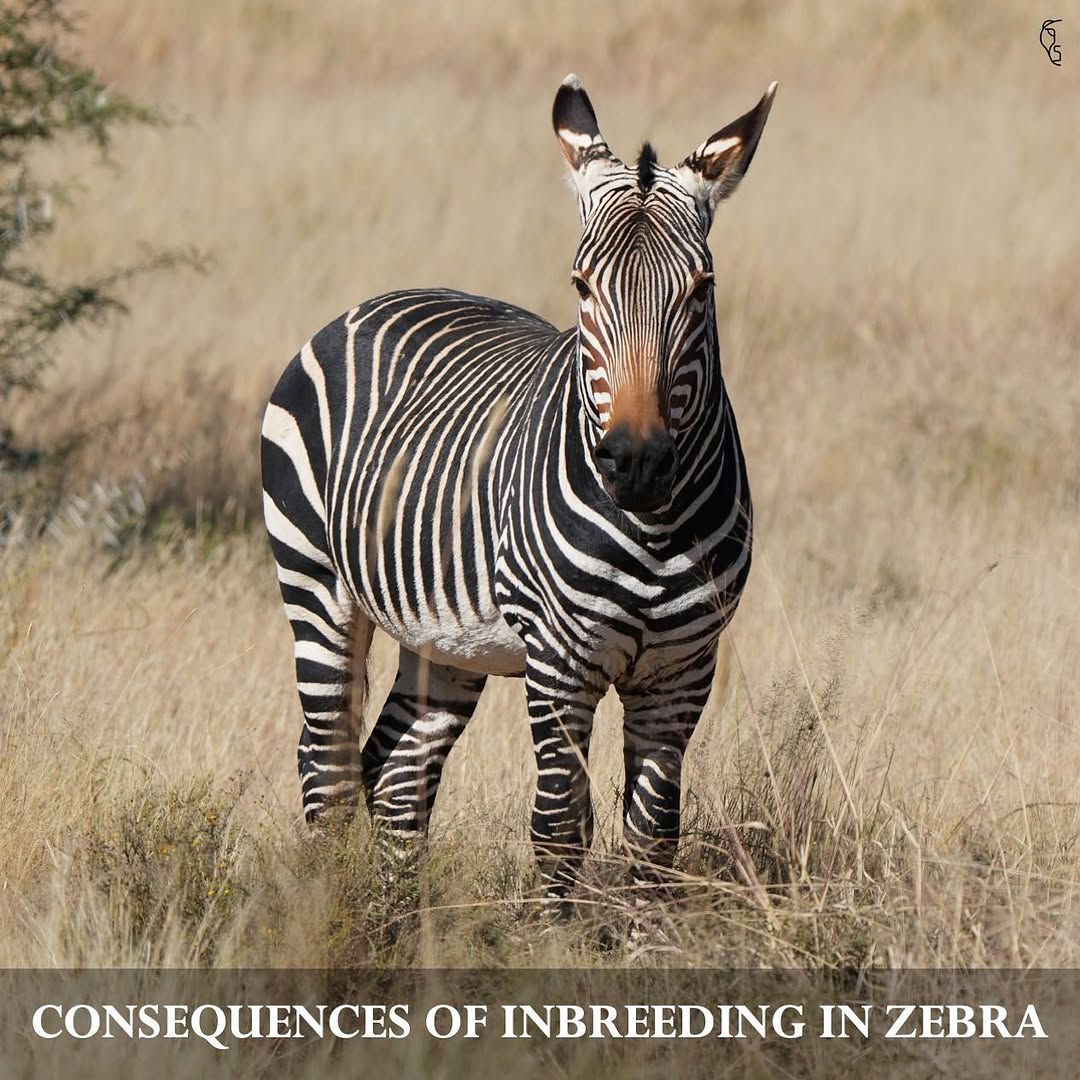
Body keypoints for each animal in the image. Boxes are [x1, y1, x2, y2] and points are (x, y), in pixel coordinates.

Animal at [261, 75, 777, 910]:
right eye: (581, 285)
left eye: (702, 289)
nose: (637, 462)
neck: (653, 530)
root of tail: (379, 299)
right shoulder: (561, 662)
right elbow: (561, 825)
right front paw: (554, 934)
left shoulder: (682, 669)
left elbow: (653, 841)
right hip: (316, 585)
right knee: (327, 768)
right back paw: (331, 915)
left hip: (443, 638)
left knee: (397, 771)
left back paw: (402, 923)